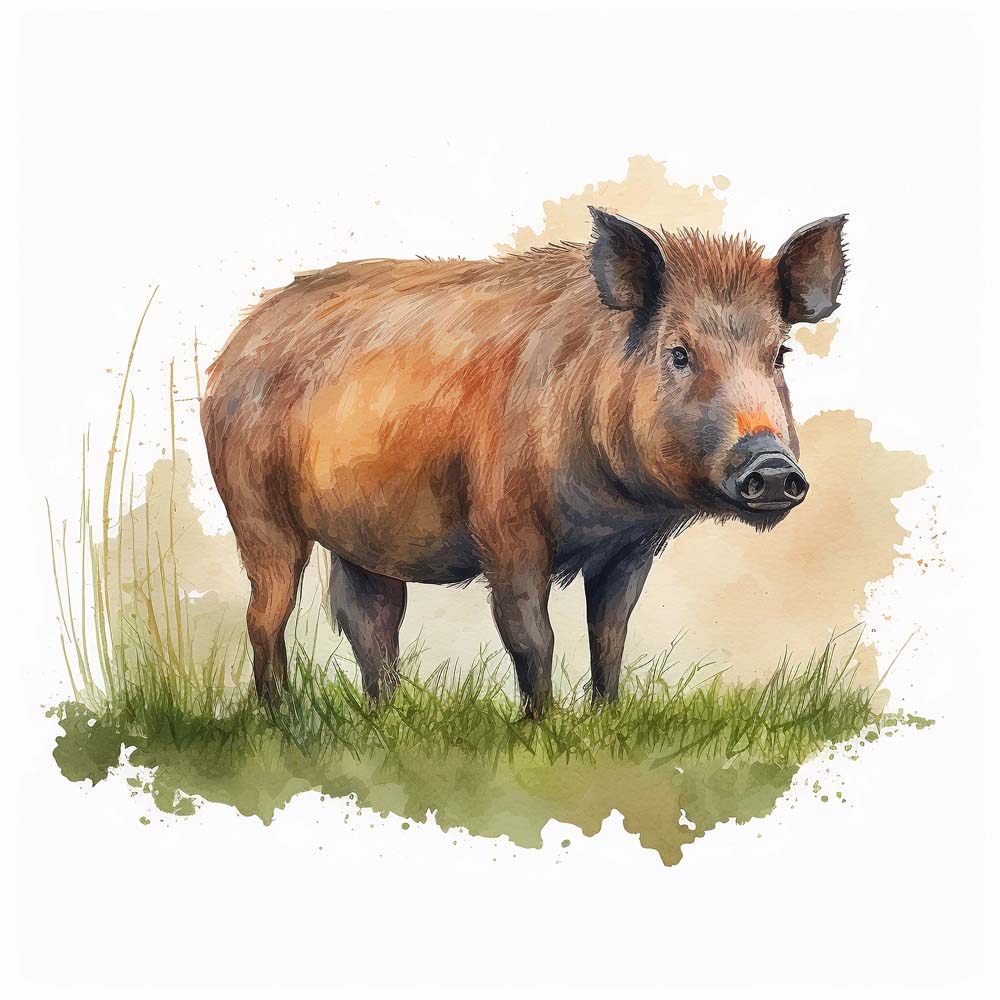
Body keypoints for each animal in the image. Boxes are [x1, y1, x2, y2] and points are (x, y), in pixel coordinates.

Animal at [201, 209, 847, 717]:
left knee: (368, 620)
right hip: (253, 509)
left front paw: (605, 720)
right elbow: (532, 636)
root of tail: (233, 347)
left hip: (364, 539)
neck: (610, 507)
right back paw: (281, 718)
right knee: (267, 613)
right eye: (680, 353)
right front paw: (542, 730)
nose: (773, 467)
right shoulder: (504, 523)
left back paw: (385, 719)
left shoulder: (631, 546)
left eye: (779, 354)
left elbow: (609, 634)